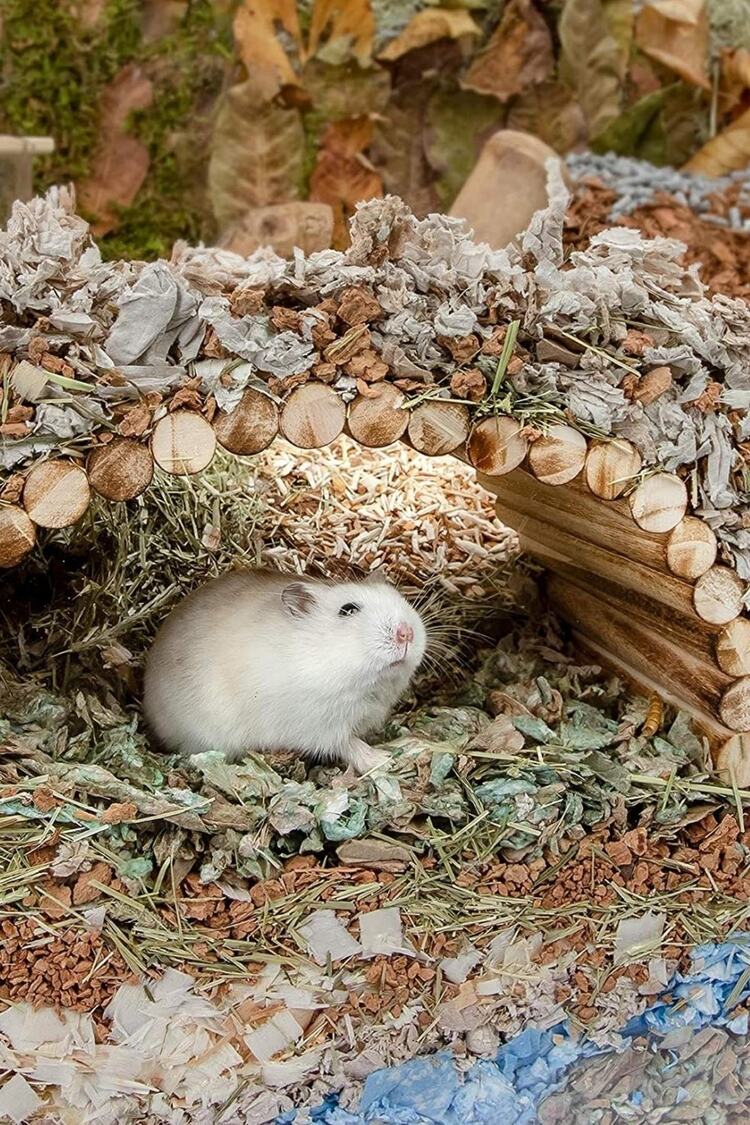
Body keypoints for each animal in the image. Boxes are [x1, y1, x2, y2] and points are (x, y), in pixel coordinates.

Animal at [142, 567, 427, 773]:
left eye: (400, 599)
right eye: (348, 610)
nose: (407, 633)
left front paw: (408, 742)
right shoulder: (321, 726)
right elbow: (349, 745)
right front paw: (385, 760)